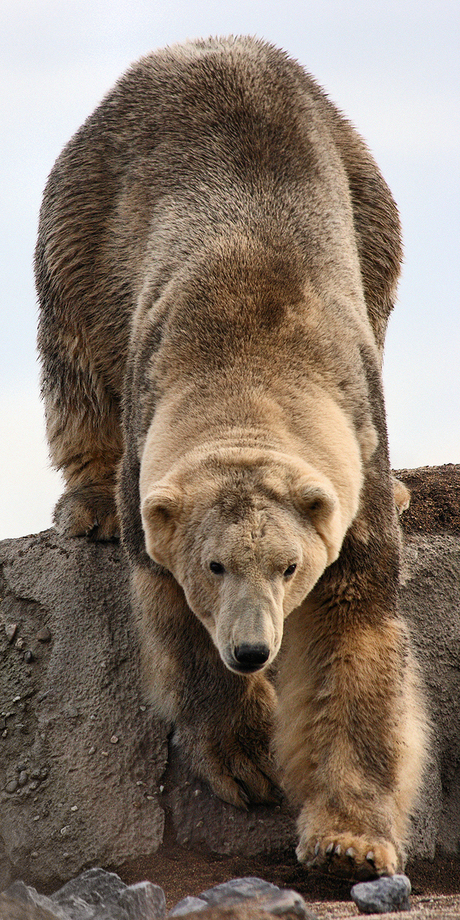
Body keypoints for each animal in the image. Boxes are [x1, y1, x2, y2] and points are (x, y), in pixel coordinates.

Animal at [36, 36, 428, 880]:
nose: (252, 650)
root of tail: (198, 45)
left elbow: (354, 632)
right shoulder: (152, 426)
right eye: (214, 565)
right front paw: (246, 756)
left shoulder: (358, 442)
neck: (251, 346)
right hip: (86, 204)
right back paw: (86, 503)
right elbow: (172, 616)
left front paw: (350, 844)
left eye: (290, 566)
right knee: (73, 348)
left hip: (364, 188)